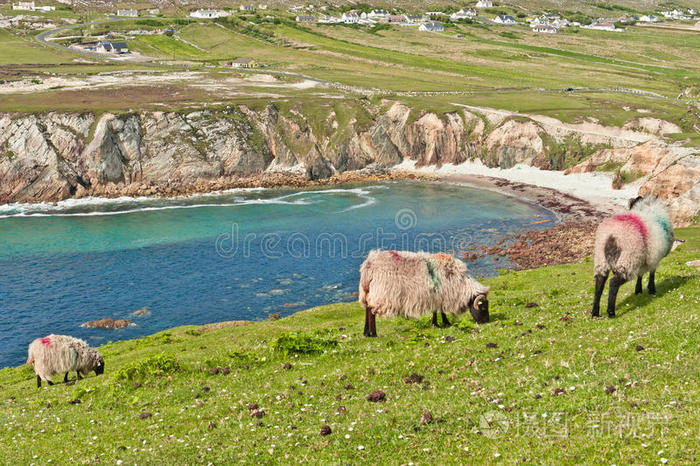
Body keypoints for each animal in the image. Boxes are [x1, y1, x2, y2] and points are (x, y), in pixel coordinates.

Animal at [358, 249, 490, 336]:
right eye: (483, 307)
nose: (486, 322)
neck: (460, 283)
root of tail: (369, 265)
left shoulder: (437, 295)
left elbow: (436, 310)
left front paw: (437, 323)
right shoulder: (442, 294)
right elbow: (441, 310)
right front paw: (444, 323)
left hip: (367, 292)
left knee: (367, 309)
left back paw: (366, 333)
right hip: (379, 294)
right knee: (371, 312)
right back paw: (373, 333)